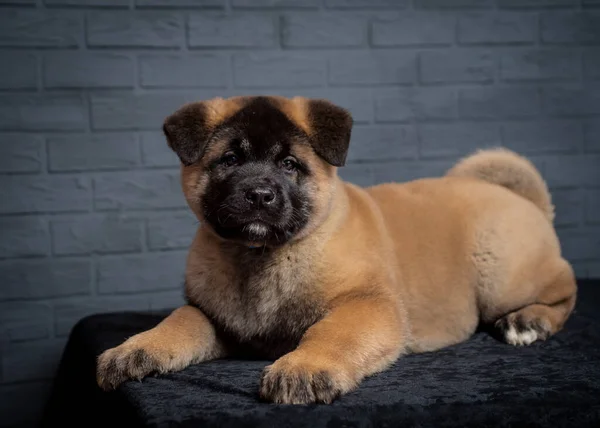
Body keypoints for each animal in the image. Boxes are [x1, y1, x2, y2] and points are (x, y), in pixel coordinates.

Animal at [95, 94, 576, 404]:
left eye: (290, 164)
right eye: (229, 160)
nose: (259, 195)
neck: (261, 256)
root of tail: (521, 198)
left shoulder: (368, 305)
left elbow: (332, 332)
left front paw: (305, 367)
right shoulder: (211, 316)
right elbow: (178, 322)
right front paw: (135, 349)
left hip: (502, 277)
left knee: (565, 288)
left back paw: (528, 321)